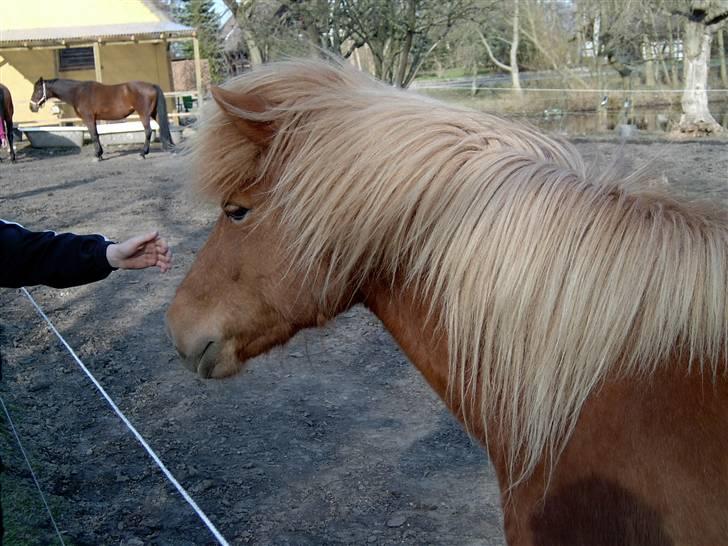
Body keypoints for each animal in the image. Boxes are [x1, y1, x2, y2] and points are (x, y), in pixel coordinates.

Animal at [30, 77, 176, 160]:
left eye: (38, 90)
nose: (32, 107)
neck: (78, 92)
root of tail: (152, 85)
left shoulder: (88, 118)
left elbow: (94, 135)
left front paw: (98, 155)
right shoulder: (93, 119)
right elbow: (97, 135)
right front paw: (100, 153)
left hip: (144, 114)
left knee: (148, 132)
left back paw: (143, 153)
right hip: (154, 113)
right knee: (163, 127)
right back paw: (169, 147)